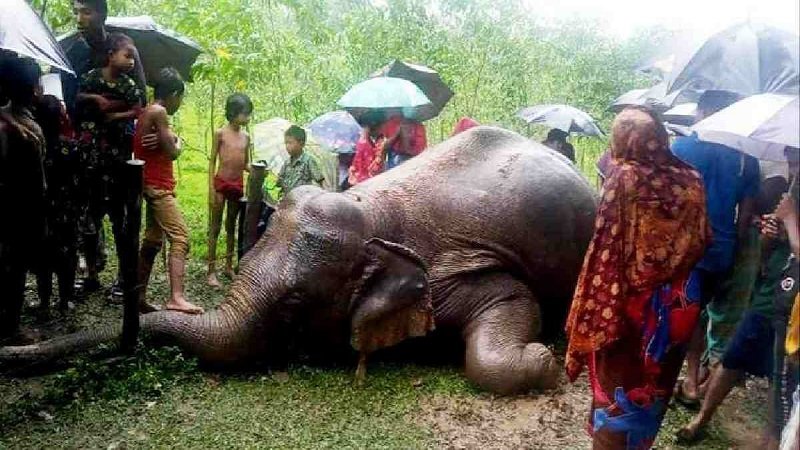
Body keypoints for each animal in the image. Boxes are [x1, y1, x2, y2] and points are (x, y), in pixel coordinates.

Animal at [0, 125, 592, 394]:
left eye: (293, 306)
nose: (13, 353)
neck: (372, 211)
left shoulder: (460, 264)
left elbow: (514, 298)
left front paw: (543, 360)